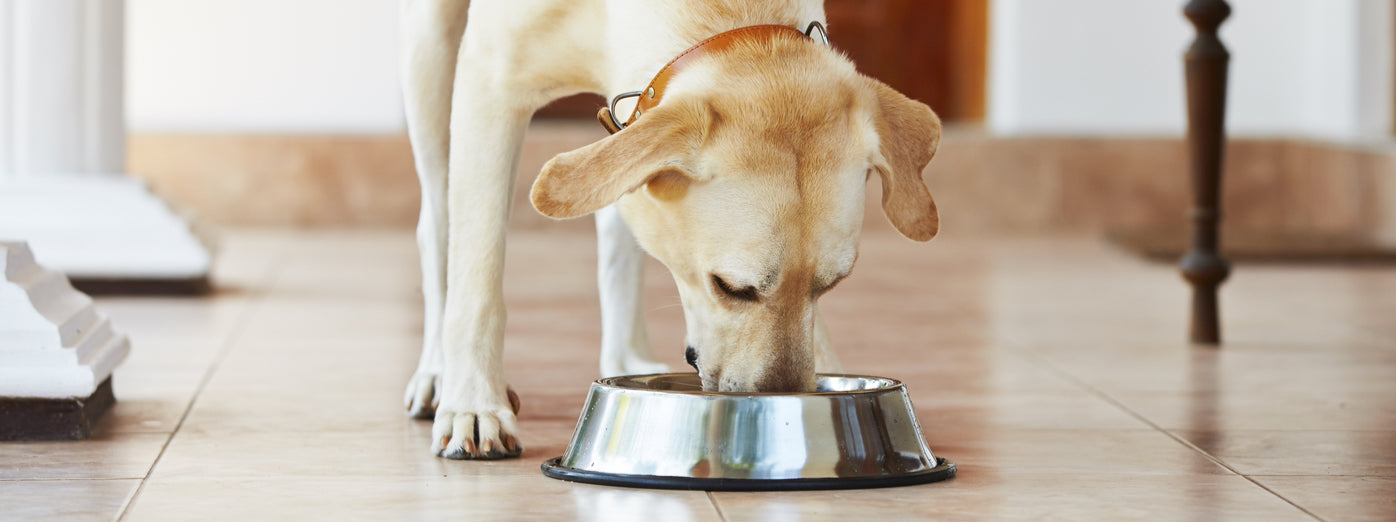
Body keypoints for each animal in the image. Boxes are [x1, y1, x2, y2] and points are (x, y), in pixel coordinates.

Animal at [399, 0, 943, 457]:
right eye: (730, 287)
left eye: (831, 284)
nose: (783, 406)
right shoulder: (490, 82)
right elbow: (478, 274)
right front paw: (474, 403)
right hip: (429, 54)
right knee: (439, 226)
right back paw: (438, 374)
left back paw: (626, 358)